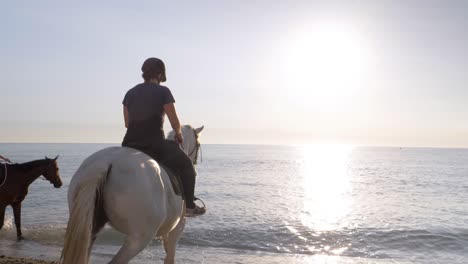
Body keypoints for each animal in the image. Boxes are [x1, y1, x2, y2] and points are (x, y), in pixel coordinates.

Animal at [59, 125, 203, 262]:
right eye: (198, 143)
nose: (195, 162)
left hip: (90, 227)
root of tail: (107, 163)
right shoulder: (178, 225)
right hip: (139, 238)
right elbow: (170, 256)